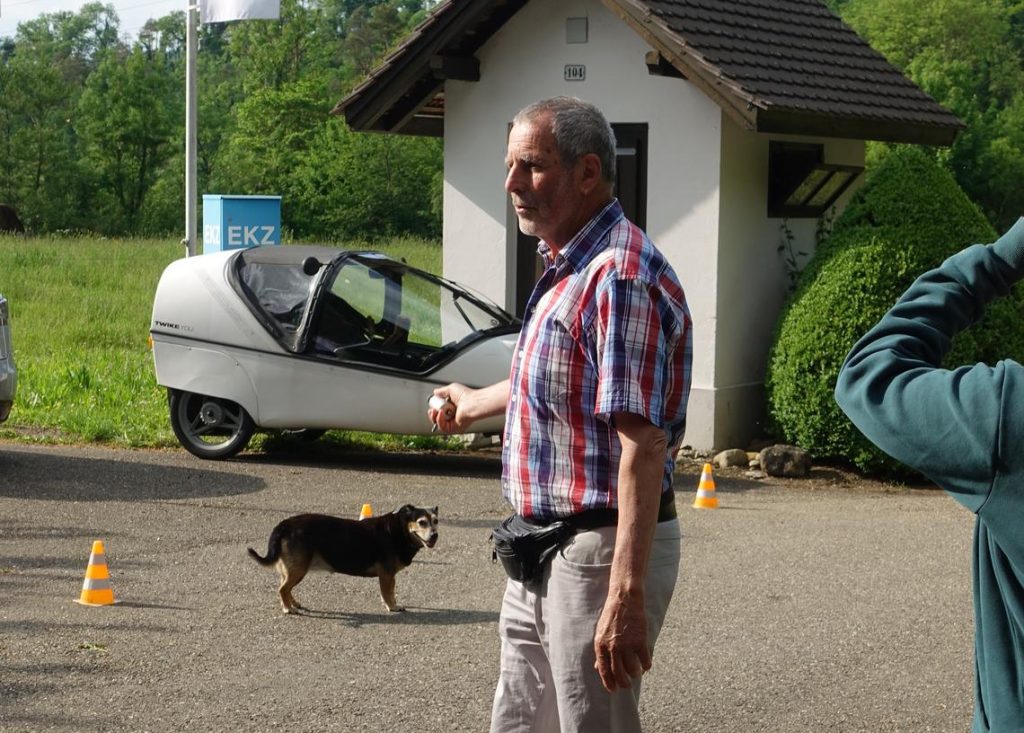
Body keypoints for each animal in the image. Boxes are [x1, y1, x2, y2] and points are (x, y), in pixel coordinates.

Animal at [250, 503, 440, 614]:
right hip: (299, 569)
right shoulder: (386, 574)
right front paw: (392, 606)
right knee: (282, 589)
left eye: (436, 521)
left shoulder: (389, 576)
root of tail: (285, 524)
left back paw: (294, 603)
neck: (400, 529)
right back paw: (287, 608)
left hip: (291, 568)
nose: (434, 535)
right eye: (422, 522)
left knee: (286, 587)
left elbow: (390, 591)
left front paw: (392, 603)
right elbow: (387, 593)